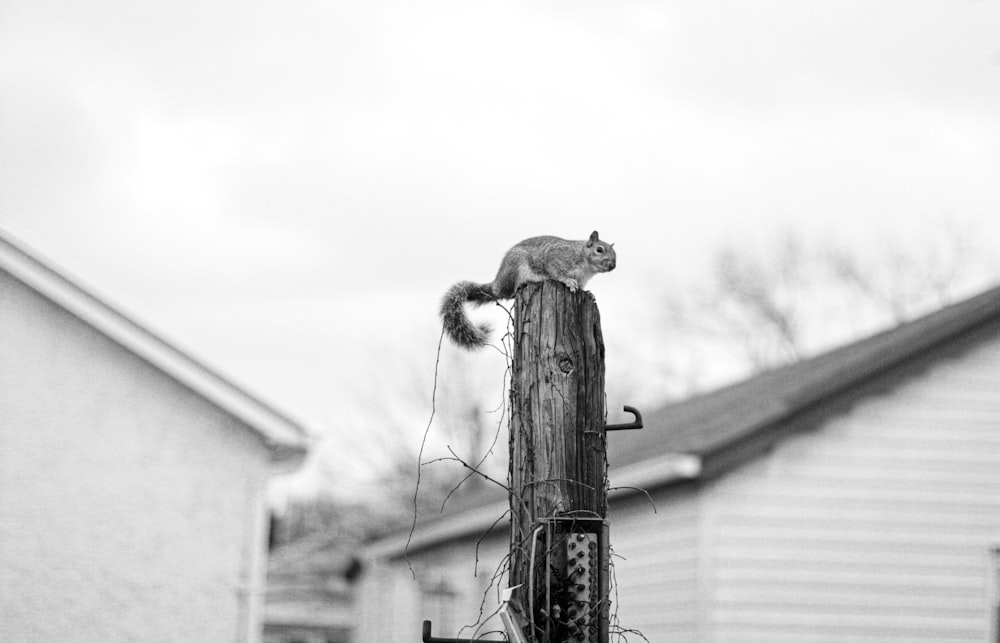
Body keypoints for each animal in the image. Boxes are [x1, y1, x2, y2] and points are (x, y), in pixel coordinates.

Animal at [440, 231, 612, 350]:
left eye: (614, 254)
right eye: (599, 249)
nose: (613, 265)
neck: (586, 266)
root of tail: (498, 285)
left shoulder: (582, 280)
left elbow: (582, 288)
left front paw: (589, 293)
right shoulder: (557, 258)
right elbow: (556, 272)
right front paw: (568, 281)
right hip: (516, 267)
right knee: (510, 293)